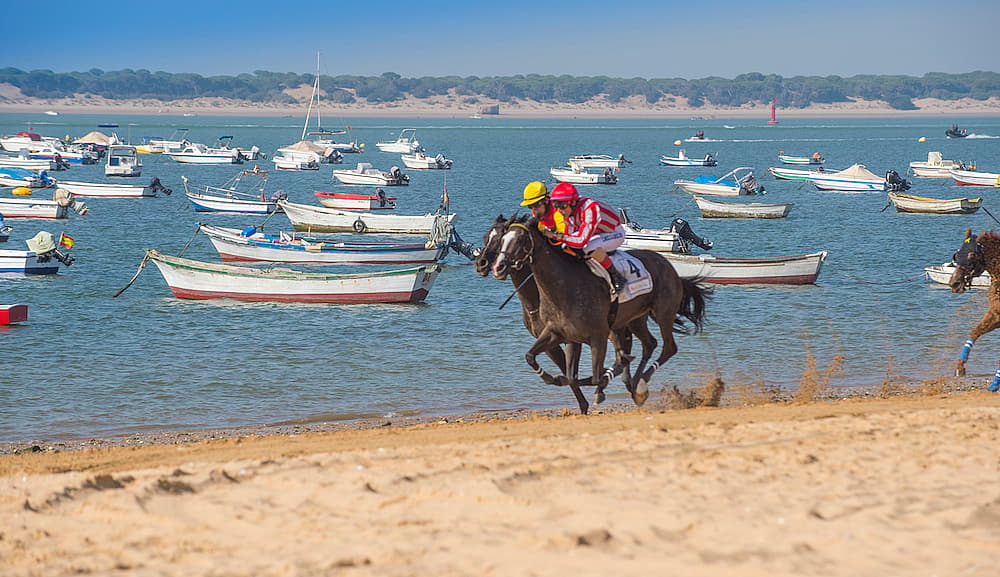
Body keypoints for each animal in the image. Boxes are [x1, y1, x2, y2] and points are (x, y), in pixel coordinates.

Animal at [489, 215, 710, 413]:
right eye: (501, 239)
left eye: (520, 240)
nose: (498, 266)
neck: (564, 285)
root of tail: (671, 269)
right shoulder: (560, 334)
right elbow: (540, 361)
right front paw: (553, 378)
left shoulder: (598, 336)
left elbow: (595, 376)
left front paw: (601, 384)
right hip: (635, 319)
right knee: (650, 344)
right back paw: (636, 382)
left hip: (662, 313)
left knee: (668, 347)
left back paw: (640, 382)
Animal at [948, 228, 1000, 391]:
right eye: (957, 255)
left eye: (971, 256)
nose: (954, 283)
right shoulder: (995, 315)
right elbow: (975, 332)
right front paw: (960, 366)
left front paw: (995, 382)